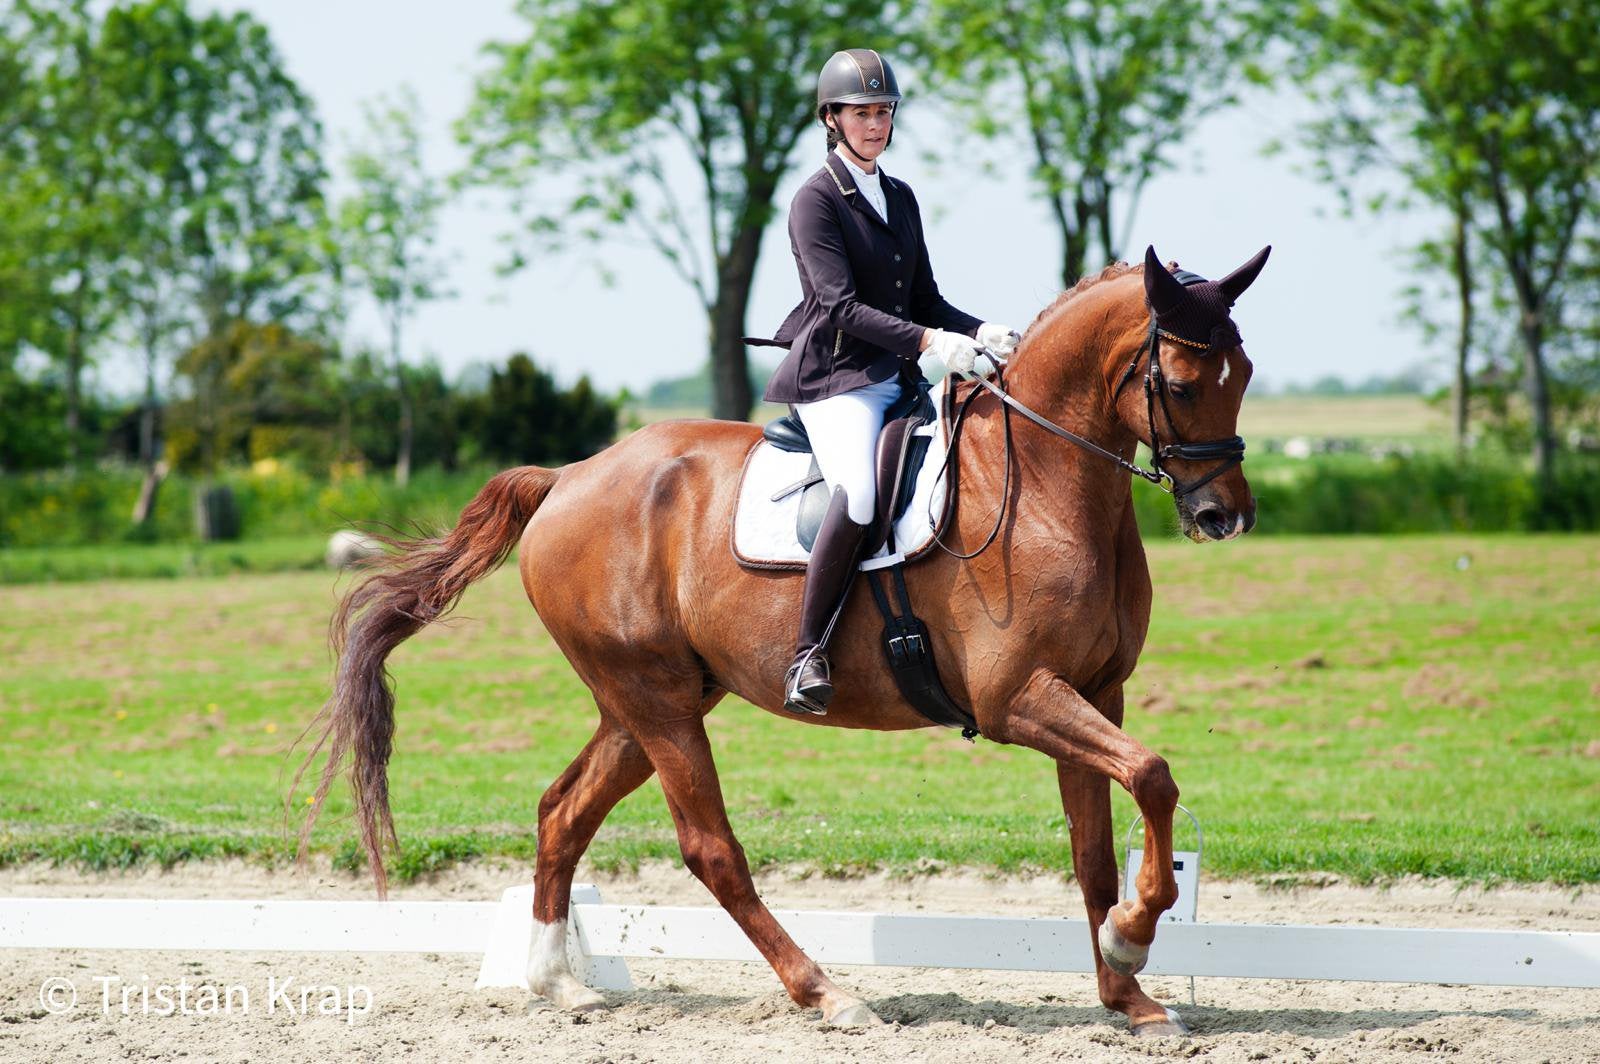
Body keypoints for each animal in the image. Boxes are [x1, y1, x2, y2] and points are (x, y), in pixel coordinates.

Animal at [296, 245, 1268, 1036]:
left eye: (1245, 373)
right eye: (1184, 384)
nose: (1224, 517)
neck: (1045, 487)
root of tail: (568, 477)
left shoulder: (1094, 694)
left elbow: (1098, 844)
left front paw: (1128, 992)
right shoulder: (1018, 698)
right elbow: (1153, 776)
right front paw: (1134, 938)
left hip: (646, 704)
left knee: (564, 811)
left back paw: (557, 985)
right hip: (655, 702)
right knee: (709, 848)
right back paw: (826, 993)